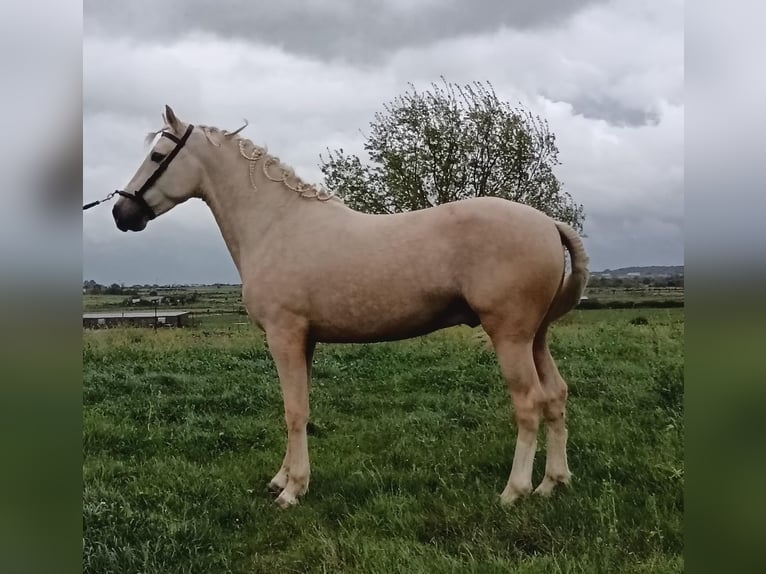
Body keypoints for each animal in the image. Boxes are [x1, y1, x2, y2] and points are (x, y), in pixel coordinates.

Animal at [111, 106, 592, 510]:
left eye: (157, 156)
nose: (120, 213)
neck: (276, 224)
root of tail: (548, 223)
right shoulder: (304, 342)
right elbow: (299, 407)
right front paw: (283, 477)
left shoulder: (284, 336)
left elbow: (294, 411)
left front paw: (292, 491)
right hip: (535, 336)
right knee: (556, 395)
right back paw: (553, 482)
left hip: (510, 336)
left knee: (529, 403)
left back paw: (515, 491)